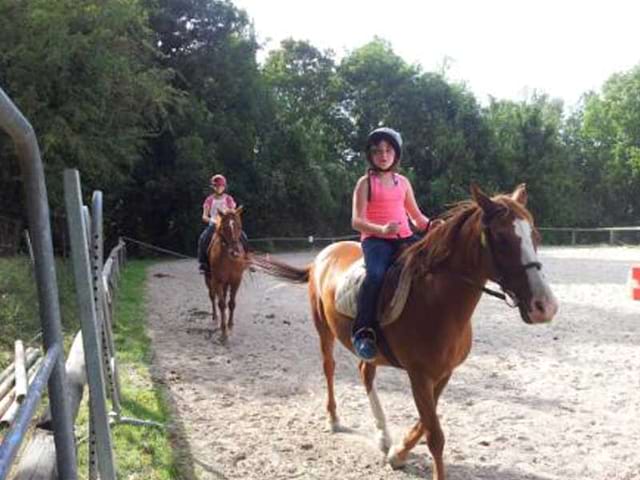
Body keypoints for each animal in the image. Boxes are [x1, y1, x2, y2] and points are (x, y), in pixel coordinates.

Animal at [206, 205, 246, 342]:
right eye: (224, 228)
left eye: (239, 226)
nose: (235, 252)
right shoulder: (217, 281)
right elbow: (222, 304)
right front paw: (223, 332)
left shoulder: (236, 280)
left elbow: (232, 303)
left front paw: (230, 325)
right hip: (209, 279)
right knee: (212, 297)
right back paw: (215, 318)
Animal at [252, 185, 556, 480]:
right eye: (502, 238)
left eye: (535, 235)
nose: (545, 307)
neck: (436, 301)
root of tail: (323, 256)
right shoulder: (419, 375)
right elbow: (435, 436)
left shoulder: (443, 373)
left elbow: (425, 423)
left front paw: (397, 453)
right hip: (323, 329)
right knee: (329, 368)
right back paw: (334, 419)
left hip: (370, 349)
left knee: (366, 372)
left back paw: (383, 436)